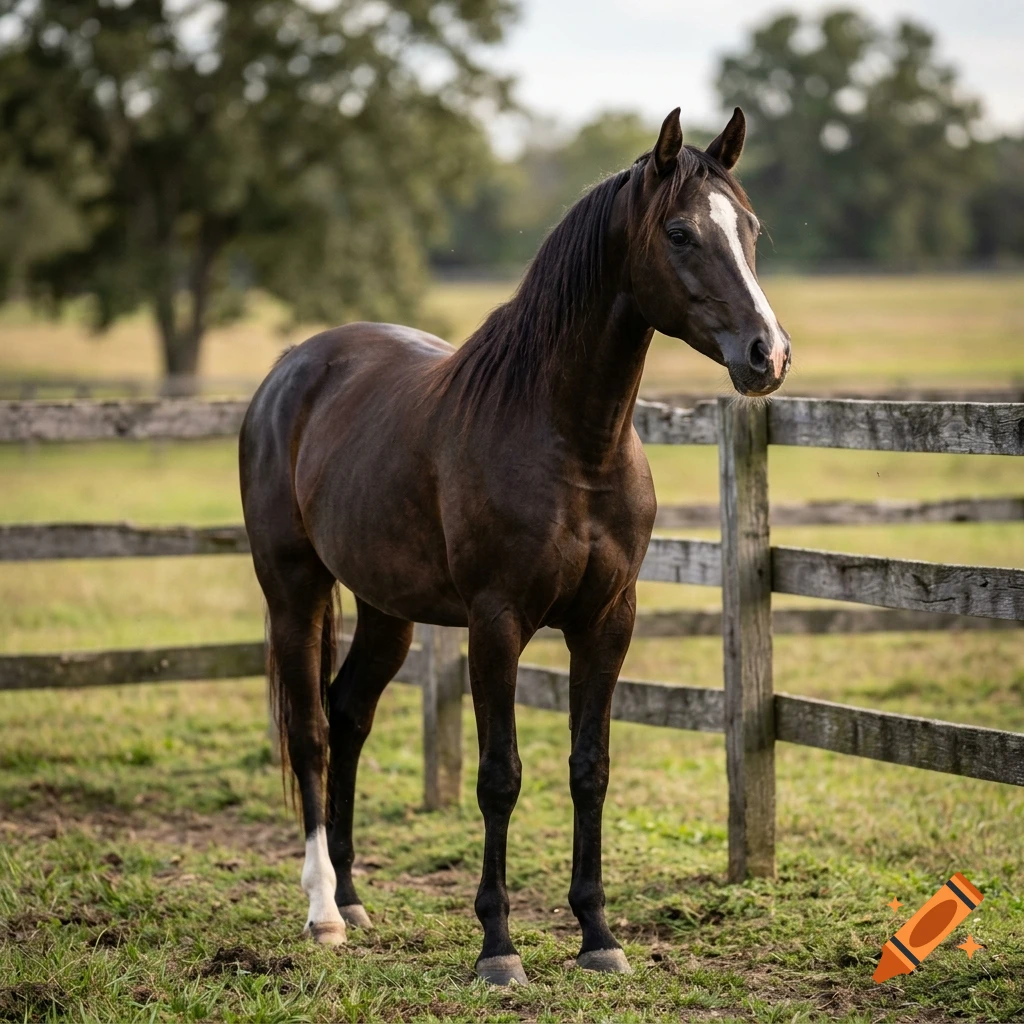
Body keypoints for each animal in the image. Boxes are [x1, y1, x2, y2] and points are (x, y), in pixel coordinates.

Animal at [239, 105, 791, 986]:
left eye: (750, 228)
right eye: (679, 232)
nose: (767, 355)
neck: (571, 440)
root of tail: (292, 368)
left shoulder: (607, 621)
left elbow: (590, 770)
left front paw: (598, 935)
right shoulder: (497, 624)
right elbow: (500, 778)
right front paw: (498, 948)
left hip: (386, 609)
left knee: (350, 714)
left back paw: (354, 900)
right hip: (295, 591)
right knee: (313, 732)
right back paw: (323, 913)